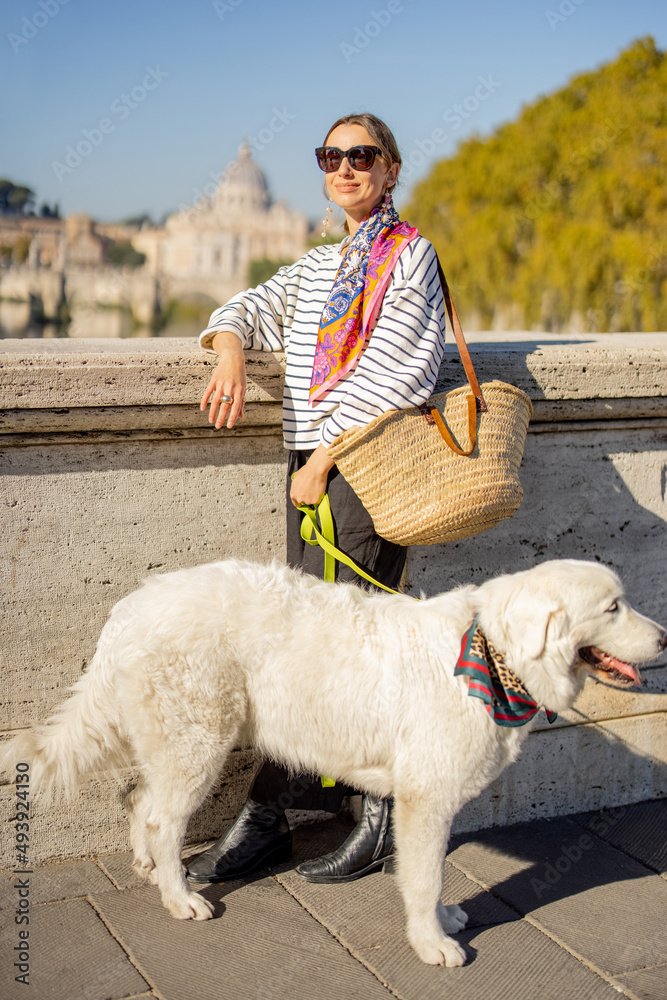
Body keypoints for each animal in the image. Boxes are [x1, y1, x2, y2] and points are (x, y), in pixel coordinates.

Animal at [2, 560, 664, 964]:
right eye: (612, 607)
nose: (663, 638)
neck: (493, 654)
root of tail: (131, 607)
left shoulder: (426, 798)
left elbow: (430, 876)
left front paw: (444, 921)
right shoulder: (427, 799)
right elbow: (424, 877)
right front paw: (431, 943)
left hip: (174, 743)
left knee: (143, 804)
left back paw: (147, 867)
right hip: (199, 743)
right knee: (165, 820)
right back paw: (179, 899)